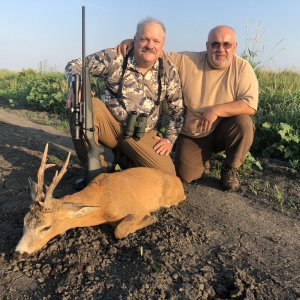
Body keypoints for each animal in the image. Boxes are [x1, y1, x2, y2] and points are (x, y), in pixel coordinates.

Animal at [15, 144, 186, 258]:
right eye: (24, 220)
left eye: (46, 227)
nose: (19, 253)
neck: (102, 205)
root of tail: (179, 181)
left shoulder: (138, 209)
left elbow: (120, 230)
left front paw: (152, 218)